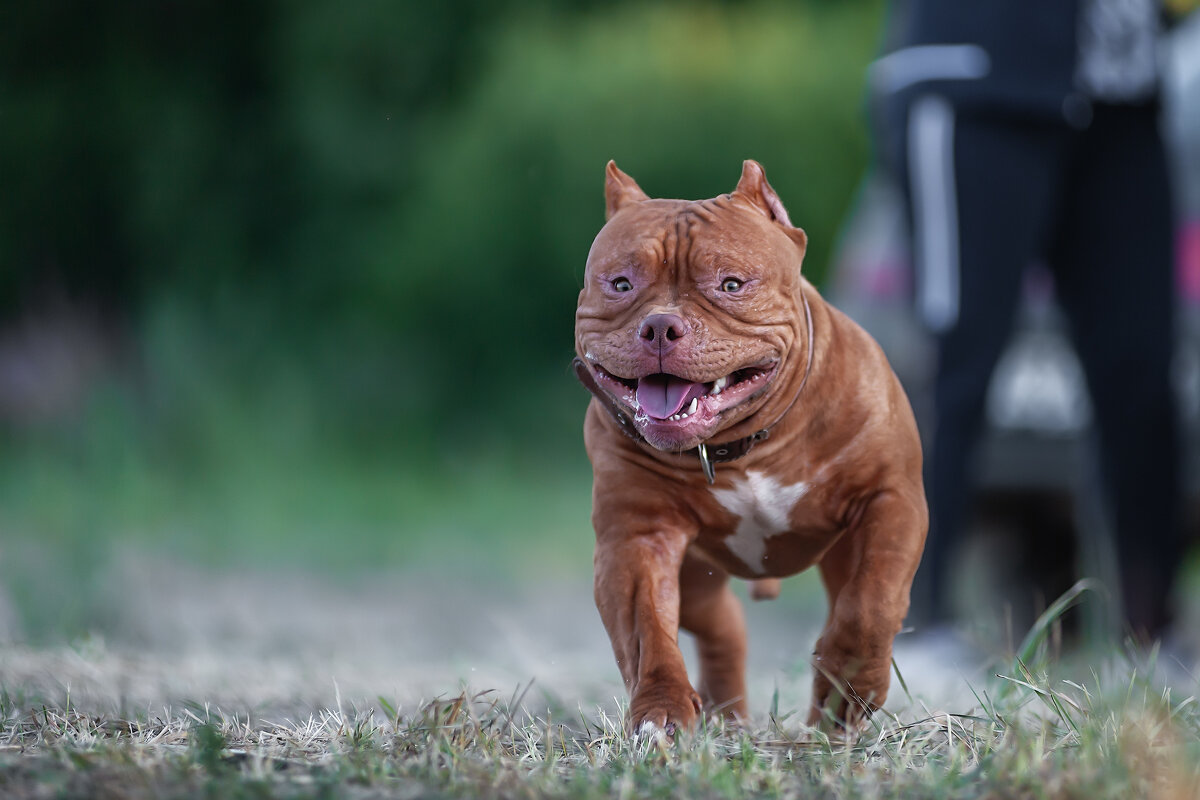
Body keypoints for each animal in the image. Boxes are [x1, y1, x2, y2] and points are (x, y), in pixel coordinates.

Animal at [571, 159, 926, 734]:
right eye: (621, 284)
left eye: (731, 284)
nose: (660, 325)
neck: (744, 445)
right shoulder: (637, 539)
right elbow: (648, 630)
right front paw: (661, 711)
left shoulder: (890, 501)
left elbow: (873, 601)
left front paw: (850, 686)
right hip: (697, 575)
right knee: (721, 628)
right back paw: (728, 715)